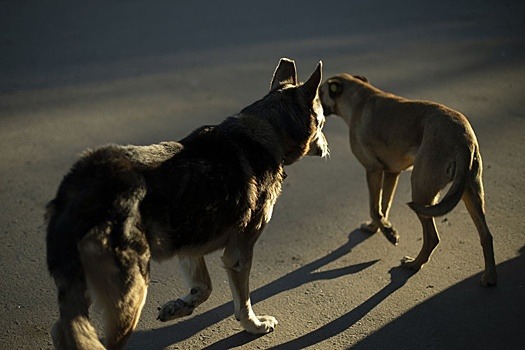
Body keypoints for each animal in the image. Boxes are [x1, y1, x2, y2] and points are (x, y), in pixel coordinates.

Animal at [48, 58, 328, 348]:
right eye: (322, 121)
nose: (327, 147)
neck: (265, 128)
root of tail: (84, 188)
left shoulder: (190, 246)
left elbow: (204, 288)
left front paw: (180, 307)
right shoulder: (238, 255)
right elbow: (243, 303)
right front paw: (254, 325)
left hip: (87, 288)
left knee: (62, 329)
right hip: (130, 292)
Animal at [320, 73, 496, 288]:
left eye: (318, 93)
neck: (358, 98)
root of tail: (463, 141)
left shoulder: (373, 171)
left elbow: (374, 208)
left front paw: (388, 233)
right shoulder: (391, 174)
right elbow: (383, 207)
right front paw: (379, 228)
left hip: (421, 191)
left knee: (432, 238)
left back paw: (414, 264)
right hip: (470, 193)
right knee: (486, 235)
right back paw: (490, 277)